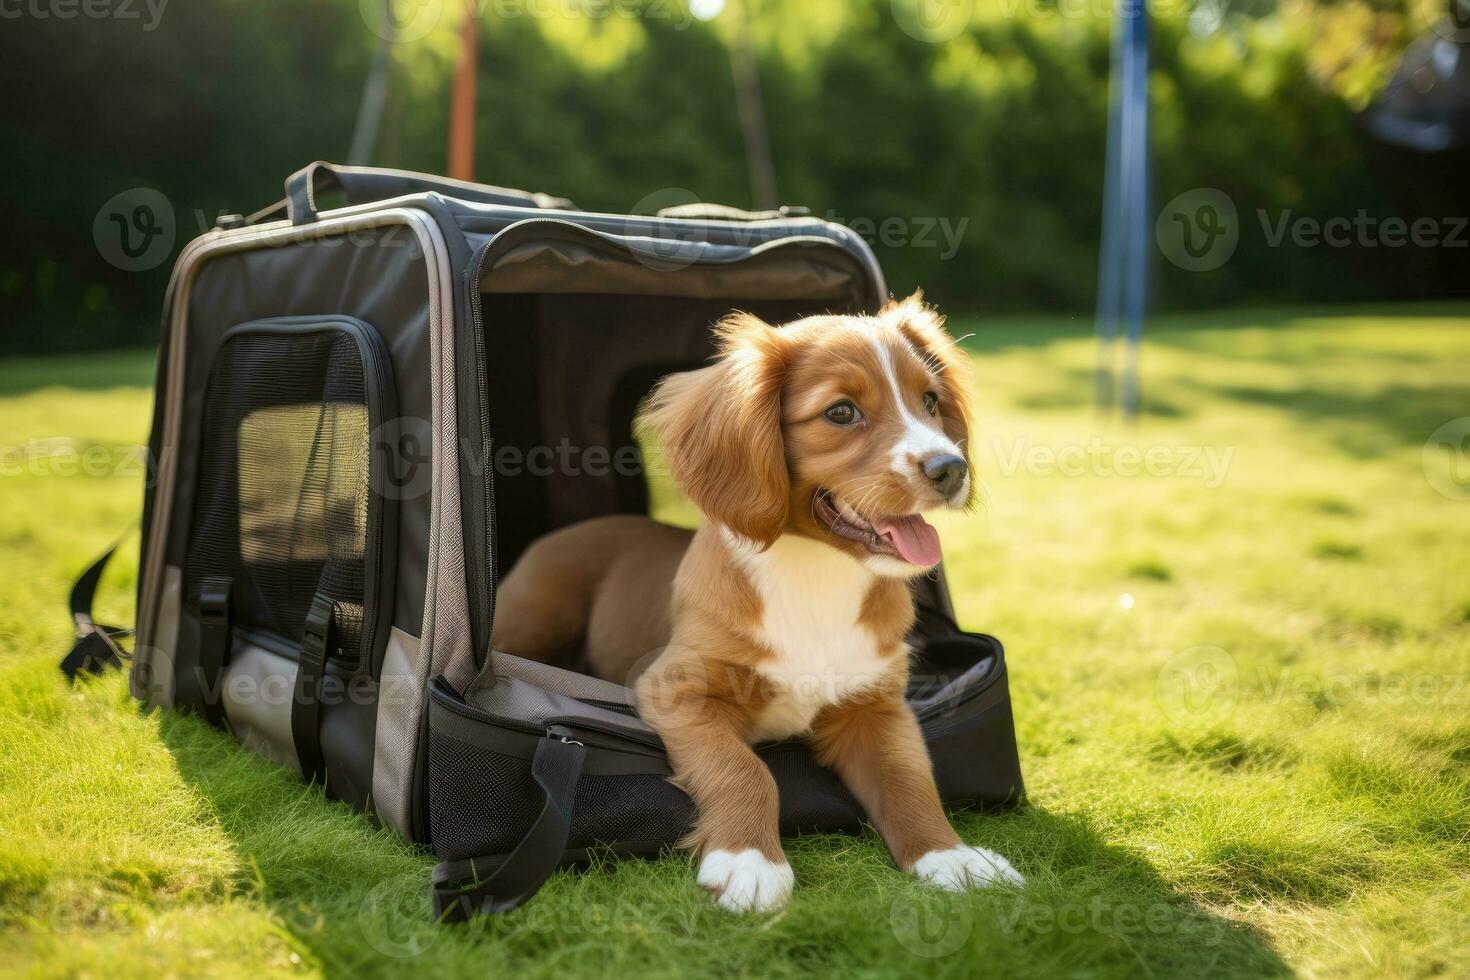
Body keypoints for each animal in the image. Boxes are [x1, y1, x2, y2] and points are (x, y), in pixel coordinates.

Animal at [493, 290, 1023, 910]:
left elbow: (909, 778)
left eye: (931, 400)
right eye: (841, 413)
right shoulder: (676, 688)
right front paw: (748, 860)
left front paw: (951, 857)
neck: (816, 574)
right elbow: (743, 768)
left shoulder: (874, 705)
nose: (951, 468)